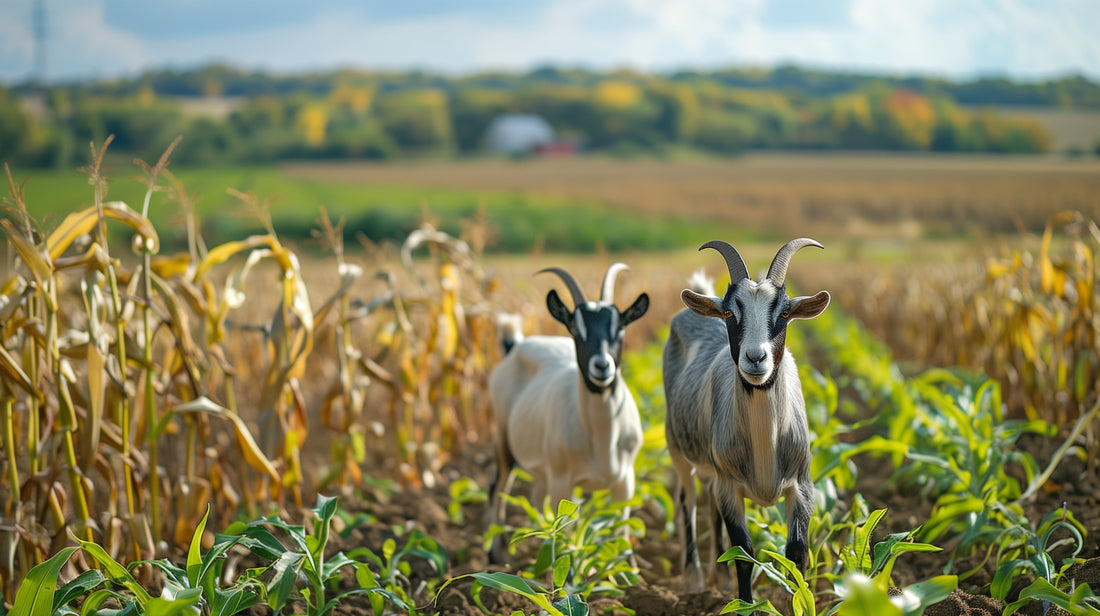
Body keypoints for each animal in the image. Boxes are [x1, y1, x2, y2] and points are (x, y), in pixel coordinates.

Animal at [487, 264, 649, 563]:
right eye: (575, 327)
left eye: (620, 327)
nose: (601, 366)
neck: (602, 439)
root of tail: (515, 346)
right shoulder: (563, 484)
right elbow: (565, 538)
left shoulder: (625, 482)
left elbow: (620, 531)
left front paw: (628, 571)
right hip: (504, 439)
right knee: (497, 487)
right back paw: (497, 555)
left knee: (535, 495)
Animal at [662, 239, 830, 601]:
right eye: (729, 312)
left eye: (784, 312)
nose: (755, 358)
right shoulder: (729, 485)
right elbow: (743, 551)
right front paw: (746, 604)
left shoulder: (803, 484)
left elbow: (797, 551)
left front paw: (799, 600)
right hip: (677, 447)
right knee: (687, 501)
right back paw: (695, 579)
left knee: (709, 504)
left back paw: (720, 579)